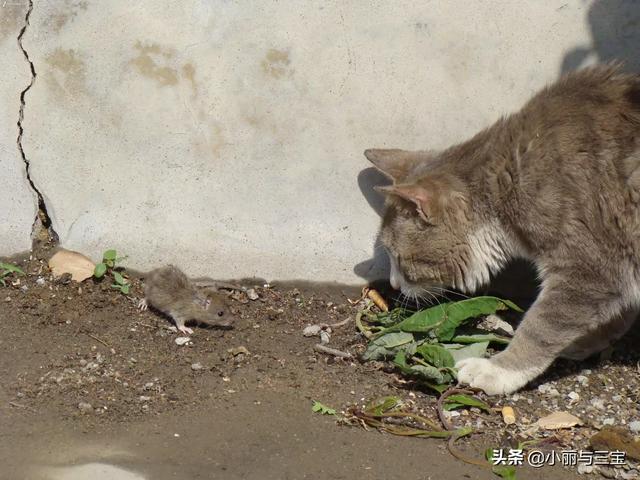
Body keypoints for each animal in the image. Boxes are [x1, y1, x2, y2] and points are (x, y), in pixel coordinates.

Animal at [364, 63, 640, 394]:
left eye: (398, 257)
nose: (392, 285)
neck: (508, 179)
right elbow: (616, 312)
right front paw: (586, 341)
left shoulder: (588, 269)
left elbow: (540, 328)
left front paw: (498, 371)